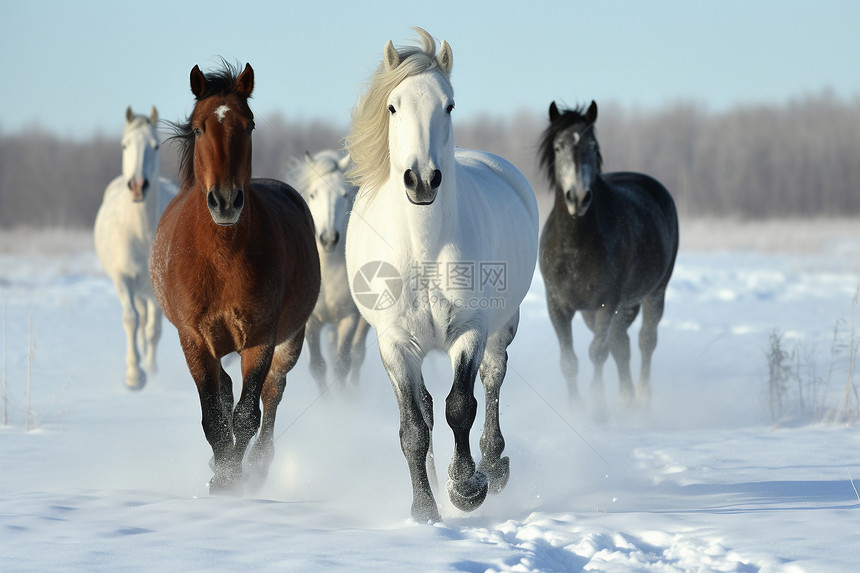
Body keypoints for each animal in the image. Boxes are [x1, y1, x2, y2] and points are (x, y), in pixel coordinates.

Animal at [94, 105, 178, 392]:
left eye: (155, 146)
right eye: (124, 145)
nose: (138, 185)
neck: (141, 233)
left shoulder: (158, 286)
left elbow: (154, 329)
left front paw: (149, 370)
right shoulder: (123, 278)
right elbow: (131, 320)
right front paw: (134, 376)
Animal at [150, 62, 320, 492]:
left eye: (250, 125)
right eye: (198, 128)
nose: (225, 201)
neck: (221, 259)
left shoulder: (261, 339)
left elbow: (247, 414)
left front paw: (235, 479)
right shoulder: (194, 339)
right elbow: (214, 412)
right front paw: (222, 474)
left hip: (290, 341)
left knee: (272, 394)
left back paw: (259, 463)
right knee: (226, 392)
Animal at [288, 147, 372, 392]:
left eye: (344, 195)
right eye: (313, 195)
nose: (328, 238)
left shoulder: (349, 318)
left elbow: (342, 365)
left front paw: (343, 400)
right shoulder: (310, 322)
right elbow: (317, 367)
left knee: (357, 353)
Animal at [344, 30, 536, 524]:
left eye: (448, 105)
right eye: (393, 106)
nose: (422, 180)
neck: (423, 250)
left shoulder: (469, 330)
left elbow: (461, 407)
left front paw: (466, 487)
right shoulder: (394, 344)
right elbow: (414, 426)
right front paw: (425, 509)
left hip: (502, 326)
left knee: (492, 379)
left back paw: (493, 465)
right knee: (427, 410)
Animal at [536, 99, 680, 412]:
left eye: (592, 146)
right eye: (558, 147)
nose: (578, 198)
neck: (574, 246)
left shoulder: (606, 303)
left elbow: (597, 353)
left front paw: (598, 408)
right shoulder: (557, 305)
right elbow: (570, 361)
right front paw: (577, 409)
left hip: (653, 294)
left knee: (645, 340)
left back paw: (642, 397)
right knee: (621, 344)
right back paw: (626, 399)